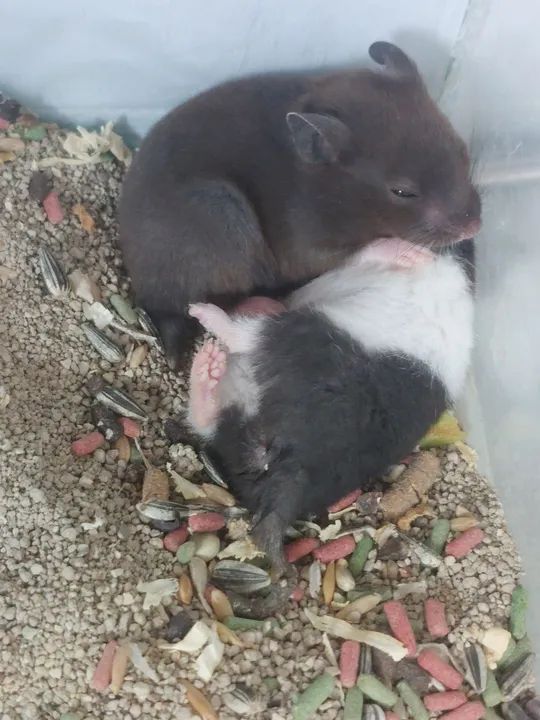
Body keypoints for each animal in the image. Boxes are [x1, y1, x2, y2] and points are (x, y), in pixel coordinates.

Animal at [118, 41, 481, 369]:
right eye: (402, 191)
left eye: (463, 150)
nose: (475, 226)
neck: (329, 190)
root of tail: (153, 303)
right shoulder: (304, 247)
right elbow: (360, 250)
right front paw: (415, 255)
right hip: (221, 215)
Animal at [184, 238, 474, 567]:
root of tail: (298, 467)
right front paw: (411, 253)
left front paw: (411, 254)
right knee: (209, 422)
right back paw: (208, 366)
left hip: (308, 334)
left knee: (249, 336)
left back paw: (203, 315)